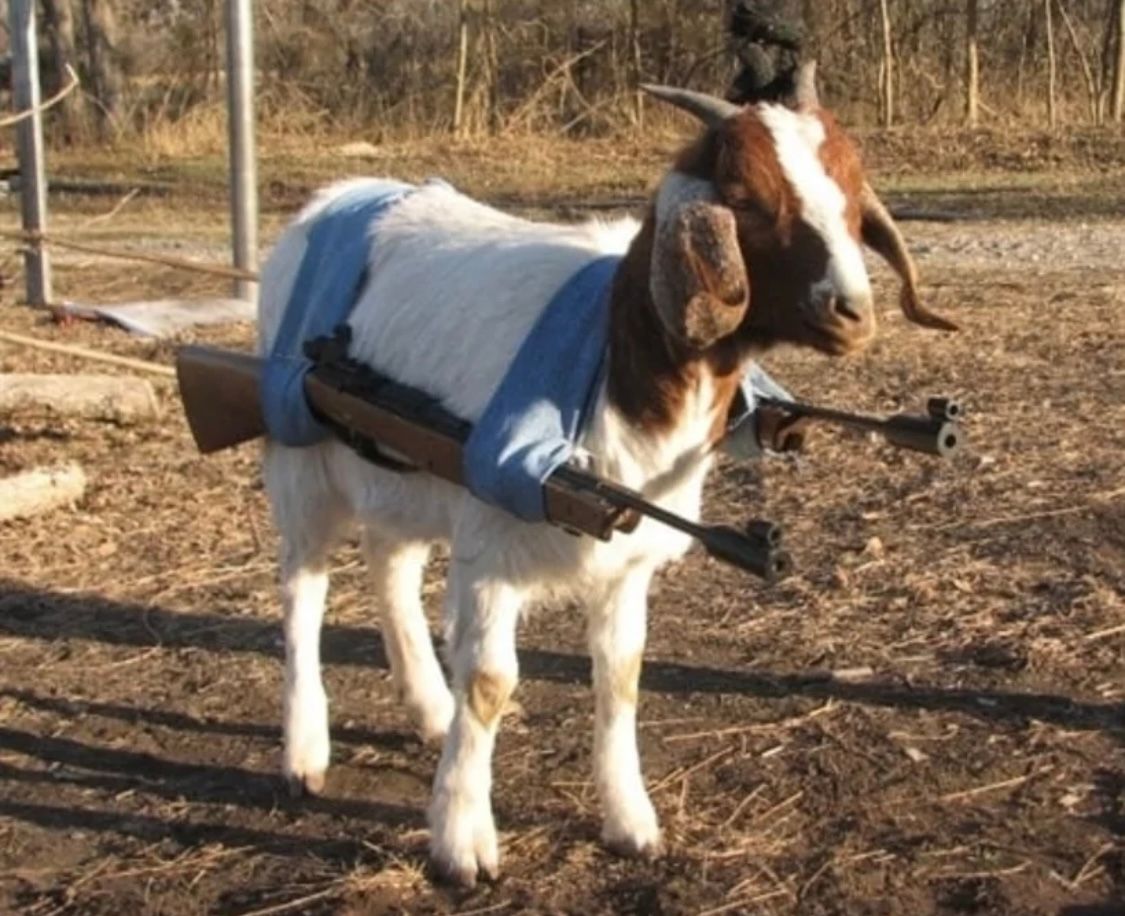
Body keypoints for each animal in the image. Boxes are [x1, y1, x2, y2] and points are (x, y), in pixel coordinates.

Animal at [255, 78, 949, 891]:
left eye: (849, 193)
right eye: (745, 197)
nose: (852, 312)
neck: (610, 358)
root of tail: (331, 198)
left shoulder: (625, 563)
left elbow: (621, 677)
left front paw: (631, 822)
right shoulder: (489, 548)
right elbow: (489, 684)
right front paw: (462, 842)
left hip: (402, 476)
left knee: (390, 565)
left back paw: (427, 709)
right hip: (298, 455)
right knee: (302, 590)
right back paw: (306, 752)